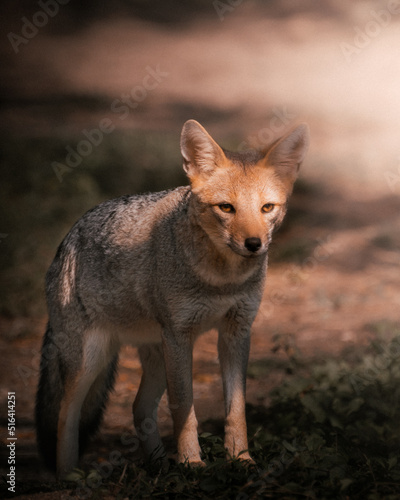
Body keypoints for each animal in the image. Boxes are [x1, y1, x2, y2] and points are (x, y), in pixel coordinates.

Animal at [35, 117, 310, 476]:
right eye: (226, 208)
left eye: (267, 208)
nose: (254, 244)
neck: (221, 279)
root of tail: (67, 238)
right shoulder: (180, 336)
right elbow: (183, 407)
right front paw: (192, 463)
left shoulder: (236, 331)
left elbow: (236, 409)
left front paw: (241, 459)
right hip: (91, 360)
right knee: (66, 416)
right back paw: (70, 477)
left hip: (153, 356)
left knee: (139, 407)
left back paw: (158, 468)